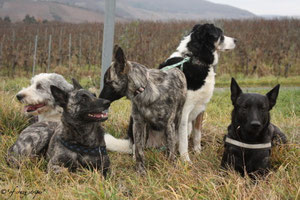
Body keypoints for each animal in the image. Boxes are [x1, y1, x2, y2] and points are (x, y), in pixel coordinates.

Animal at [99, 45, 186, 173]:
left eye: (107, 83)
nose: (99, 98)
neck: (144, 88)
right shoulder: (138, 124)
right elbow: (139, 150)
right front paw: (140, 171)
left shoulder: (169, 125)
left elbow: (171, 148)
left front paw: (171, 167)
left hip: (177, 119)